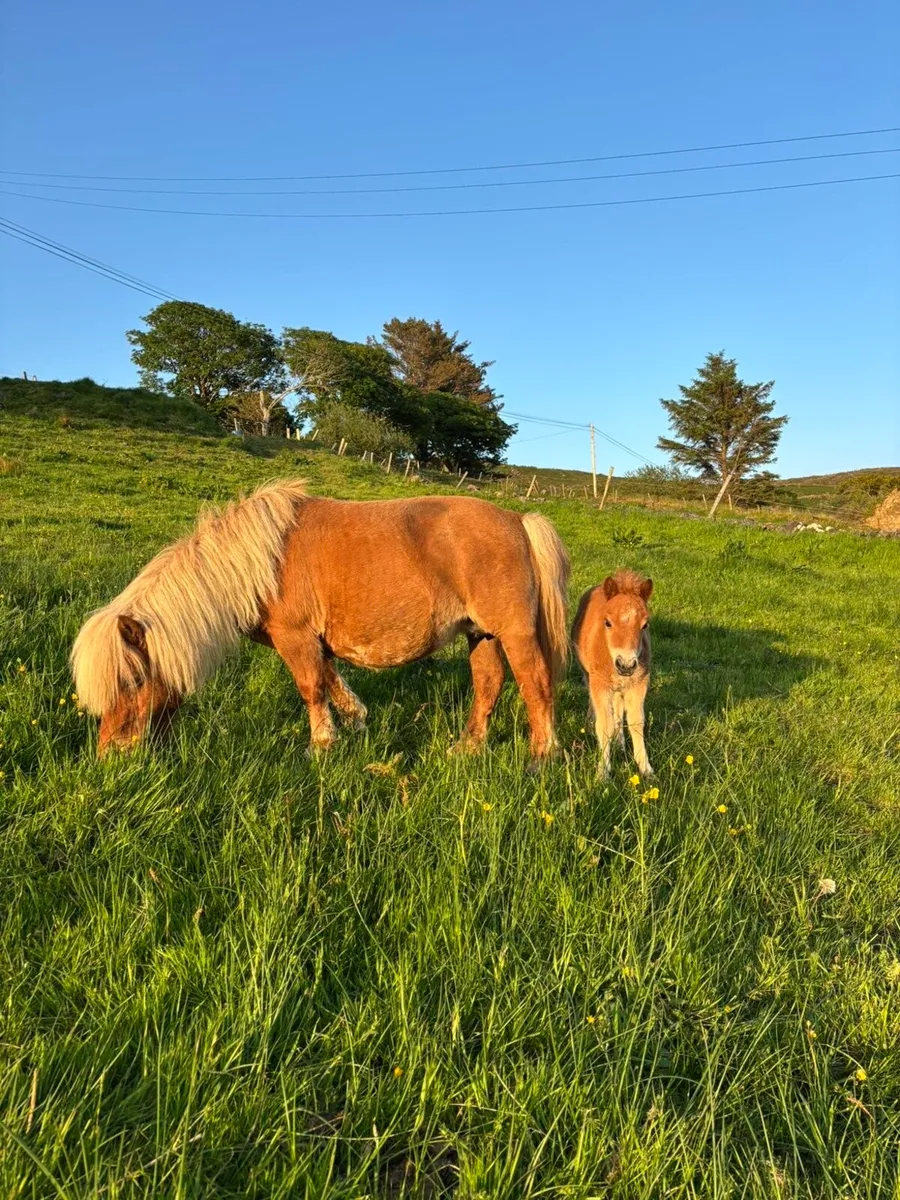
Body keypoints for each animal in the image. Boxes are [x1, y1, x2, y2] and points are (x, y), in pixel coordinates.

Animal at [71, 481, 570, 764]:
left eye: (132, 680)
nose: (111, 756)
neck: (260, 561)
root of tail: (518, 519)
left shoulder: (295, 638)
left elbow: (311, 688)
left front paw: (321, 746)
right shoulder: (317, 642)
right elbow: (331, 680)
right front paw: (354, 724)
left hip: (513, 632)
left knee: (536, 685)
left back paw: (542, 756)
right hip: (480, 633)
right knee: (488, 685)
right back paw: (468, 748)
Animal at [572, 570, 653, 779]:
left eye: (645, 625)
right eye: (607, 623)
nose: (626, 664)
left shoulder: (638, 684)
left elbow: (636, 723)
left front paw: (646, 770)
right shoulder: (600, 685)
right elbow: (604, 726)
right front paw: (603, 773)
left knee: (618, 706)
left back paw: (620, 744)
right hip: (588, 674)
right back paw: (590, 723)